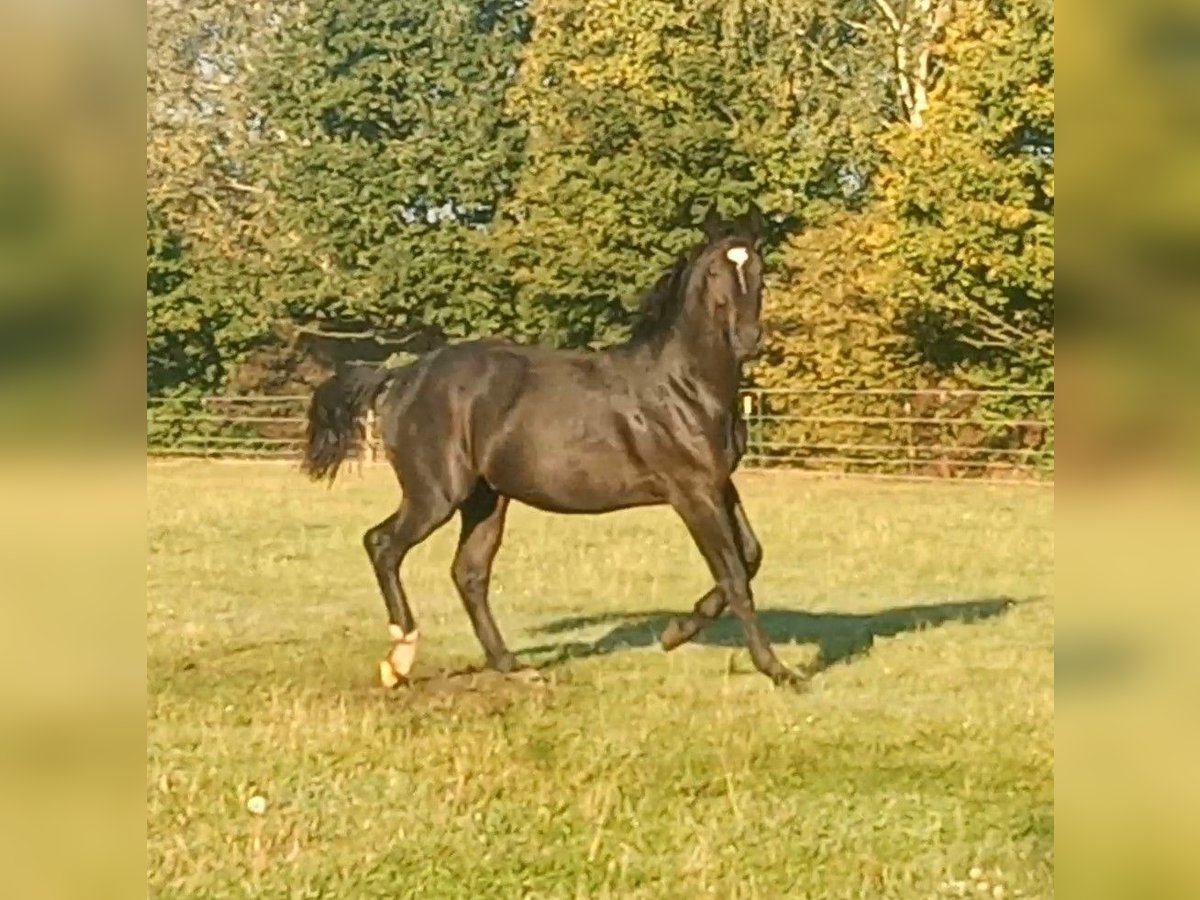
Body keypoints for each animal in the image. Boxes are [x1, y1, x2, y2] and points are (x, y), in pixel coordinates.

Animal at [302, 206, 806, 691]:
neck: (684, 384)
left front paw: (675, 632)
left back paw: (511, 665)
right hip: (435, 495)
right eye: (716, 272)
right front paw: (778, 671)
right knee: (383, 545)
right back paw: (400, 659)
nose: (748, 339)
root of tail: (402, 376)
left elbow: (751, 555)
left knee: (469, 573)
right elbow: (735, 575)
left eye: (759, 270)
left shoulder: (720, 483)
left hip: (485, 499)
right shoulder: (692, 491)